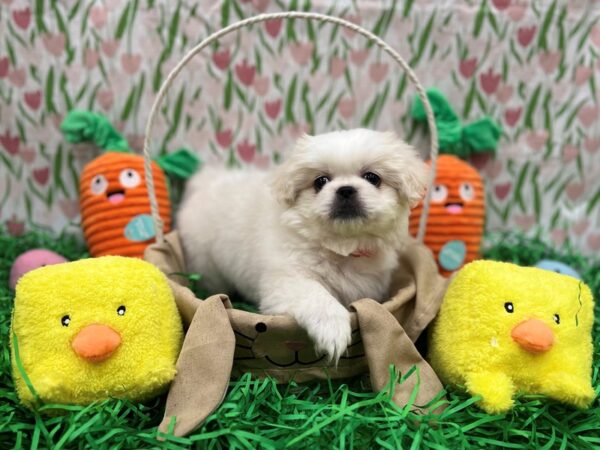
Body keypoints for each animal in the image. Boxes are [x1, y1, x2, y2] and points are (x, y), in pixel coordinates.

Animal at [176, 128, 428, 360]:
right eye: (321, 181)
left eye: (372, 178)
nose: (345, 190)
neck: (341, 248)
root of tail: (206, 182)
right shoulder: (287, 283)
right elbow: (315, 295)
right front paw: (333, 330)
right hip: (206, 263)